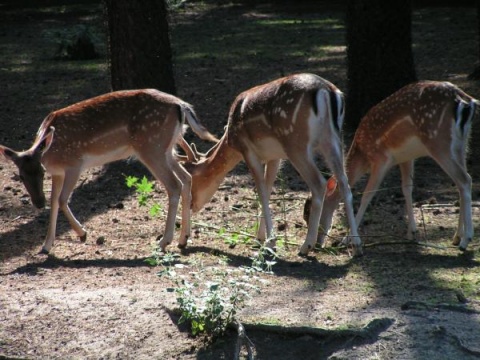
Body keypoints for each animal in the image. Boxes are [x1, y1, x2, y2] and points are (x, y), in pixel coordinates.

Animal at [0, 88, 218, 255]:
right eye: (21, 176)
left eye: (41, 172)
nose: (38, 202)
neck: (51, 152)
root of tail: (181, 105)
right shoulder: (58, 173)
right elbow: (54, 202)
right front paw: (46, 246)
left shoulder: (74, 164)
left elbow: (62, 200)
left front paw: (82, 234)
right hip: (168, 149)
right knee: (187, 178)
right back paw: (183, 239)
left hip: (151, 147)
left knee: (174, 185)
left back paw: (164, 241)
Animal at [180, 73, 360, 256]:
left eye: (193, 178)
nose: (191, 204)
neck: (231, 140)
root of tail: (326, 91)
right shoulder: (275, 157)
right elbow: (267, 188)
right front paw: (261, 238)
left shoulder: (248, 151)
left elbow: (261, 193)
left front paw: (270, 242)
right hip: (334, 139)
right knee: (344, 183)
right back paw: (356, 244)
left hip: (296, 143)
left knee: (319, 184)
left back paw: (306, 246)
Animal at [306, 81, 478, 250]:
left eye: (311, 214)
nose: (318, 243)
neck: (363, 154)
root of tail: (467, 101)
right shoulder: (406, 157)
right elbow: (407, 189)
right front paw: (412, 233)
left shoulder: (381, 159)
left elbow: (367, 195)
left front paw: (347, 239)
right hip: (462, 144)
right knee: (462, 182)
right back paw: (456, 237)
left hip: (438, 141)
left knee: (465, 180)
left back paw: (466, 240)